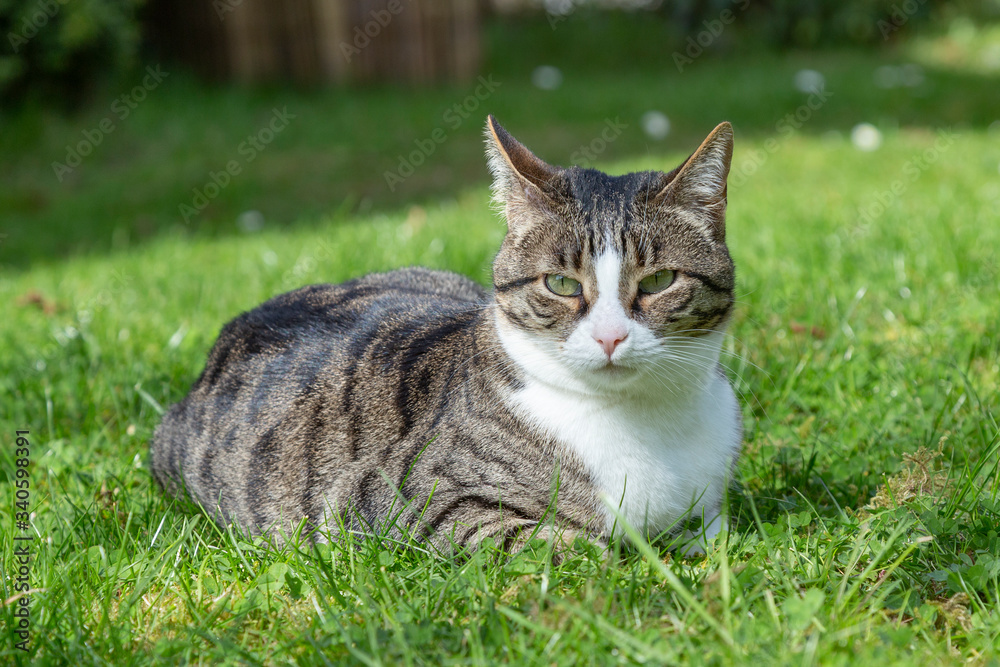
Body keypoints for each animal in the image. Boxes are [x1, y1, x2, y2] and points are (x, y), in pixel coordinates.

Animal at [148, 117, 744, 556]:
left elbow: (714, 532)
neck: (646, 420)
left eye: (660, 281)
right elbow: (567, 545)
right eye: (560, 284)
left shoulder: (711, 501)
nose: (610, 338)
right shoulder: (392, 500)